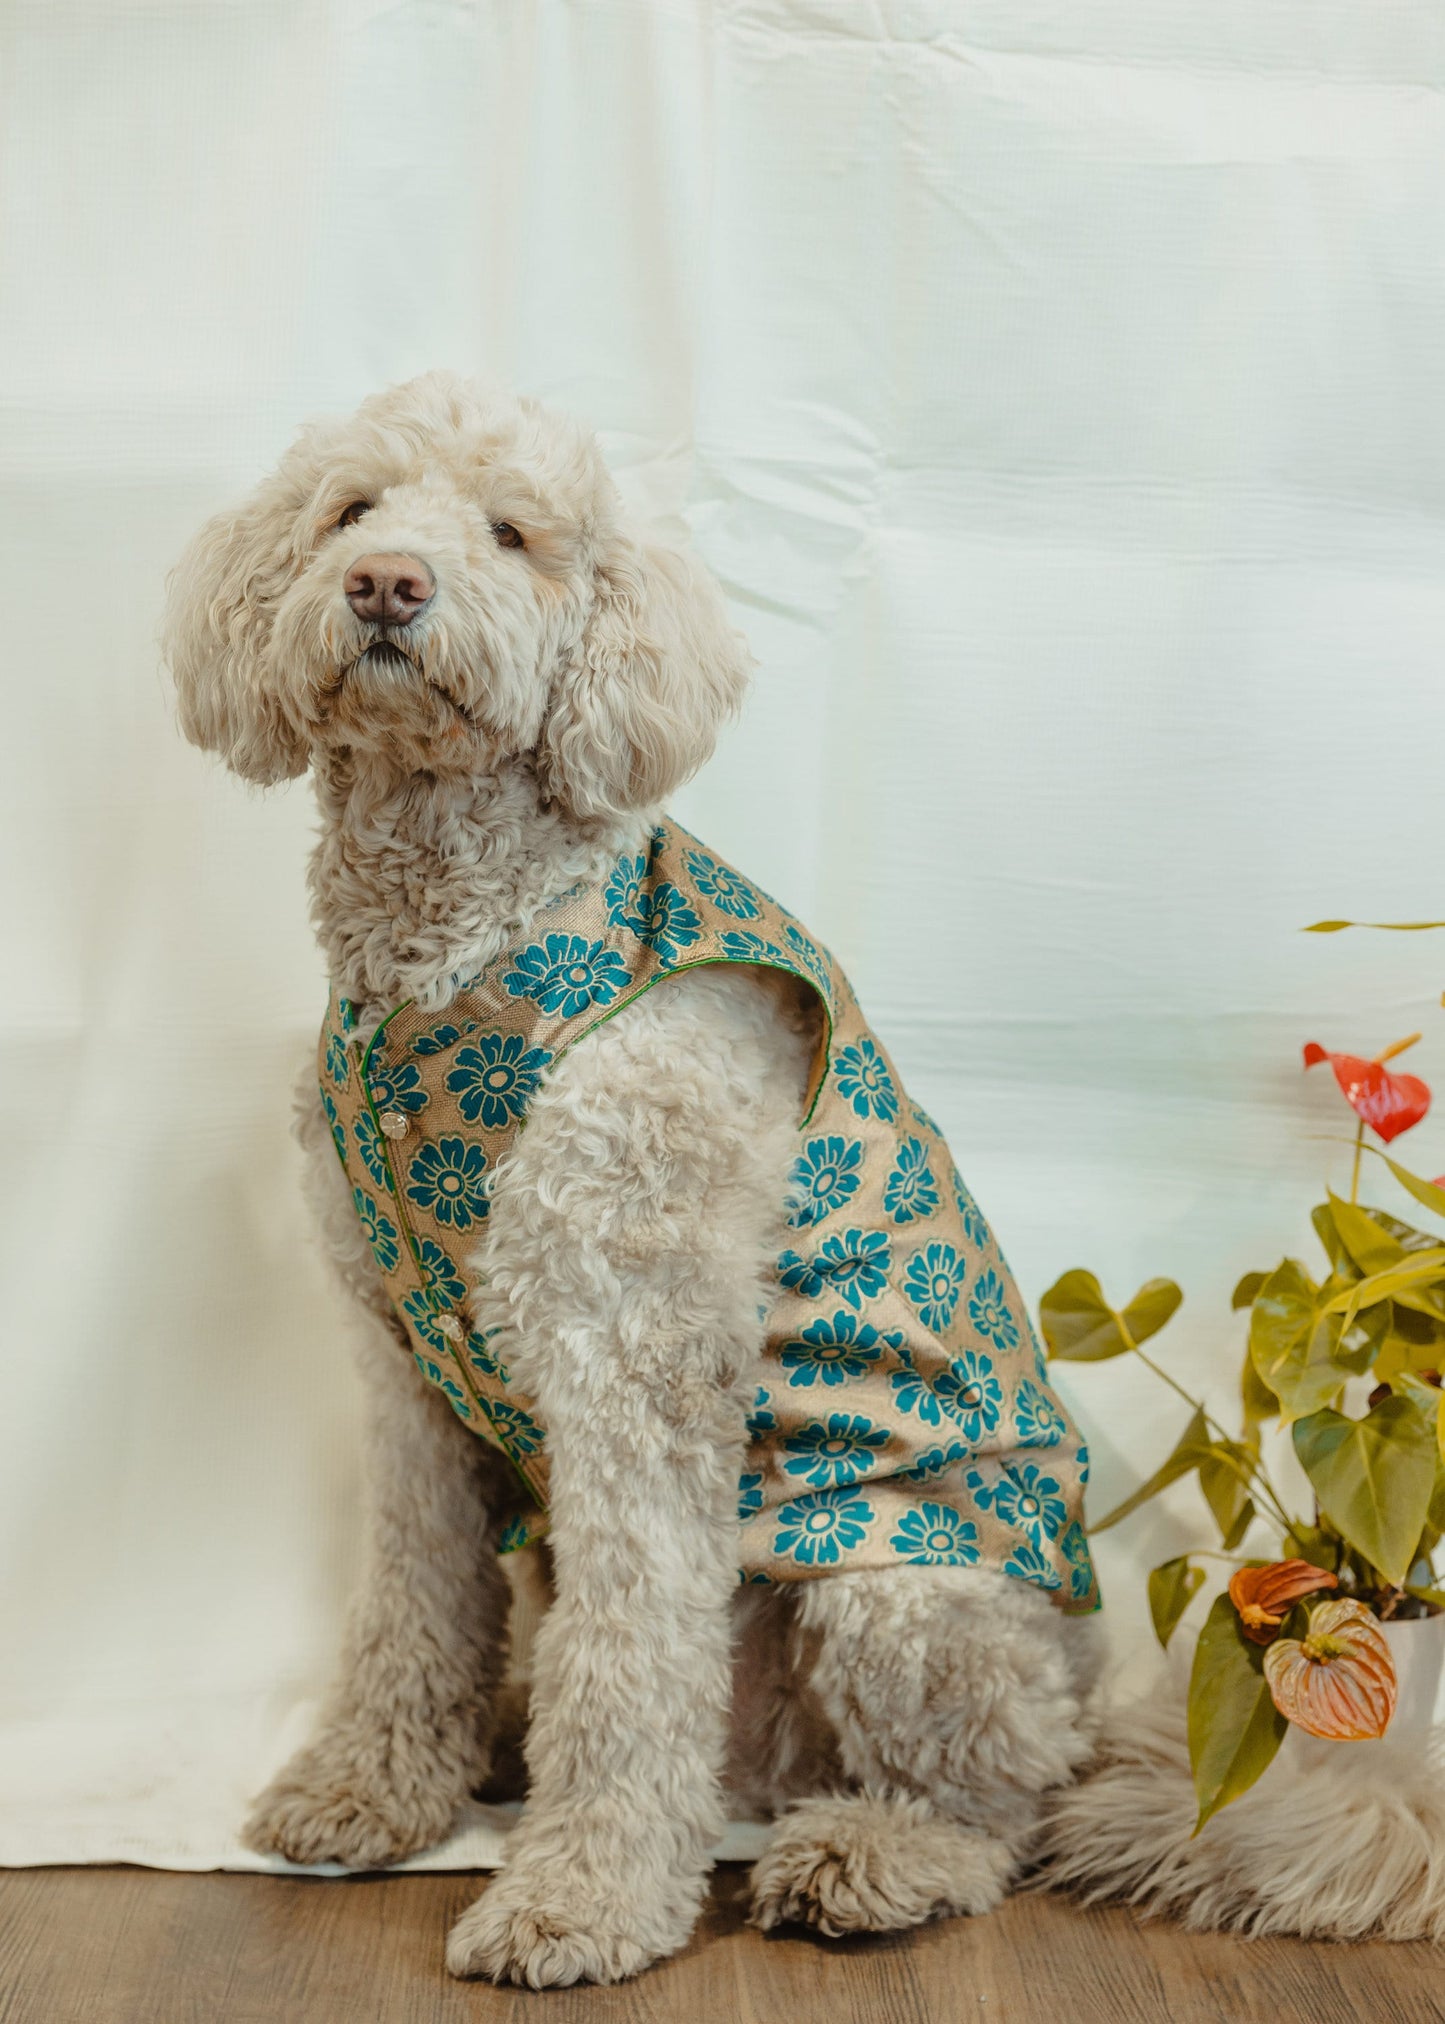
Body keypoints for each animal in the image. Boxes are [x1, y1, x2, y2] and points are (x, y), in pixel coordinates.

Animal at [165, 372, 1092, 1983]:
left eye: (510, 534)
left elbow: (627, 1658)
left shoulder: (627, 1350)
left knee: (1001, 1796)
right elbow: (412, 1593)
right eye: (350, 510)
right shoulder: (398, 1365)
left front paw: (578, 1900)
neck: (455, 946)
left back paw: (873, 1859)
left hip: (901, 1592)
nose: (386, 585)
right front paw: (372, 1786)